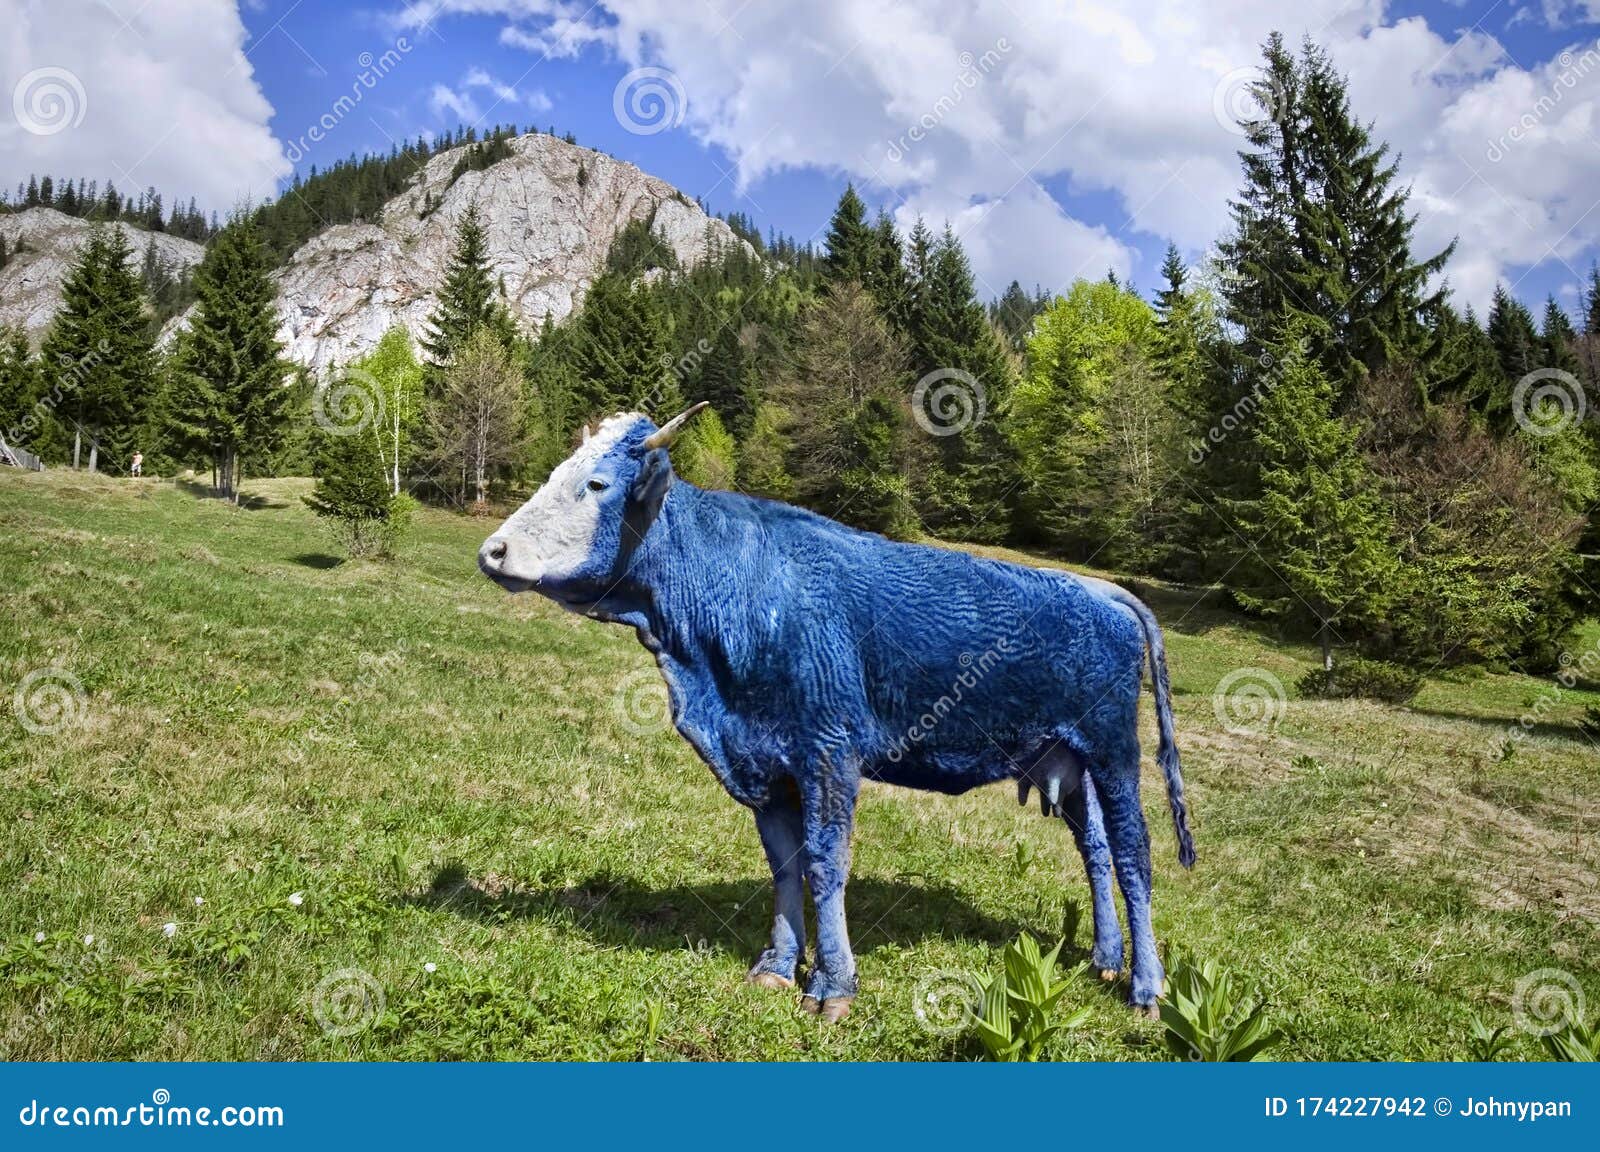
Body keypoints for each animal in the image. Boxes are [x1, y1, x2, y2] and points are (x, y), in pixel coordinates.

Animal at [480, 403, 1196, 1017]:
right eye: (554, 474)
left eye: (597, 483)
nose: (493, 551)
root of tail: (1095, 586)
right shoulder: (763, 762)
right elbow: (785, 865)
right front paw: (776, 966)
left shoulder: (829, 751)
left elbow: (826, 863)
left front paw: (833, 986)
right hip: (1067, 760)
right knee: (1097, 850)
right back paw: (1105, 958)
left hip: (1113, 748)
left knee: (1134, 855)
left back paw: (1145, 987)